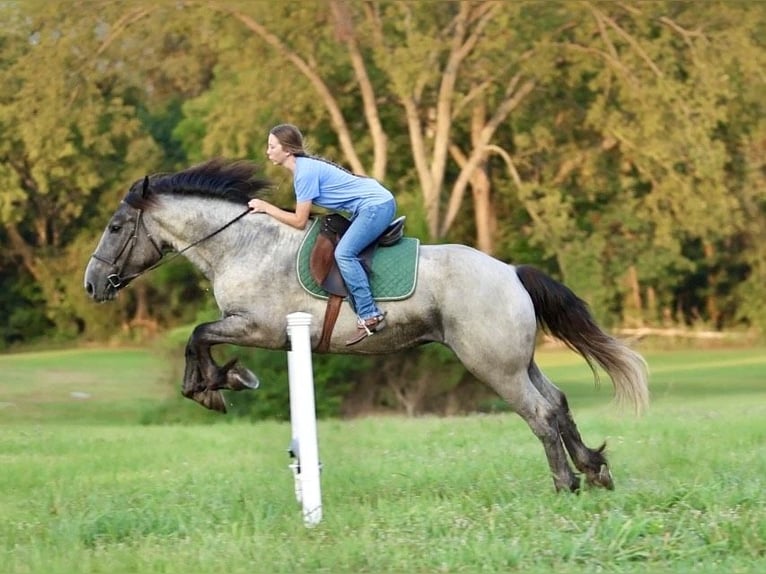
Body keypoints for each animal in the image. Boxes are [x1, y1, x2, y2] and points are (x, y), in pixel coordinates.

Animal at [82, 159, 648, 496]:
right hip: (517, 359)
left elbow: (198, 336)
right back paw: (594, 469)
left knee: (538, 414)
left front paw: (217, 386)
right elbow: (199, 339)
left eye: (115, 227)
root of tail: (510, 271)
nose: (91, 285)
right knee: (557, 402)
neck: (242, 245)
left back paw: (565, 484)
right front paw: (221, 383)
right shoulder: (258, 330)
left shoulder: (258, 328)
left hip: (493, 366)